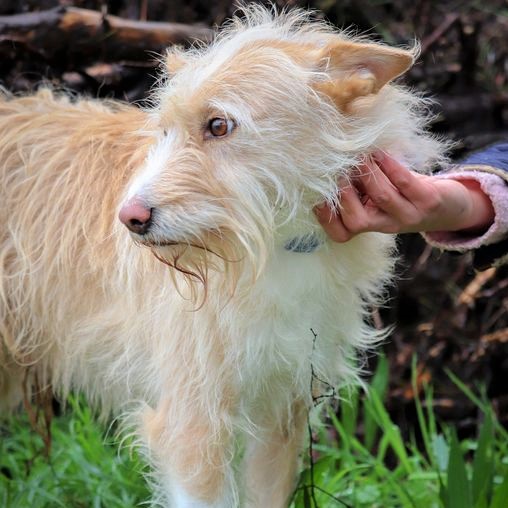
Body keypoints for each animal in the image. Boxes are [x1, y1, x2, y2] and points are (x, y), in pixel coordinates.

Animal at [0, 5, 446, 507]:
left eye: (218, 125)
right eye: (164, 131)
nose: (129, 218)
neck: (274, 245)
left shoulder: (279, 416)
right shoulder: (192, 425)